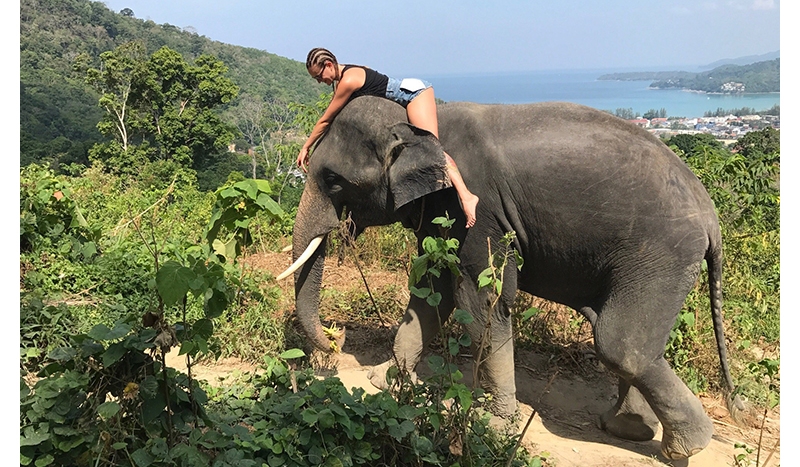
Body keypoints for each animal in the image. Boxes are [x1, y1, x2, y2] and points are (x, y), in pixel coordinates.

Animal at [279, 95, 744, 460]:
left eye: (334, 180)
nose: (336, 342)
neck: (424, 120)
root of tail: (711, 216)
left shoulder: (477, 207)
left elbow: (480, 297)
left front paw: (493, 423)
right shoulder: (442, 210)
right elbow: (433, 290)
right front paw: (385, 379)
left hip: (660, 253)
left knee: (620, 343)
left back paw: (685, 446)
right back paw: (627, 427)